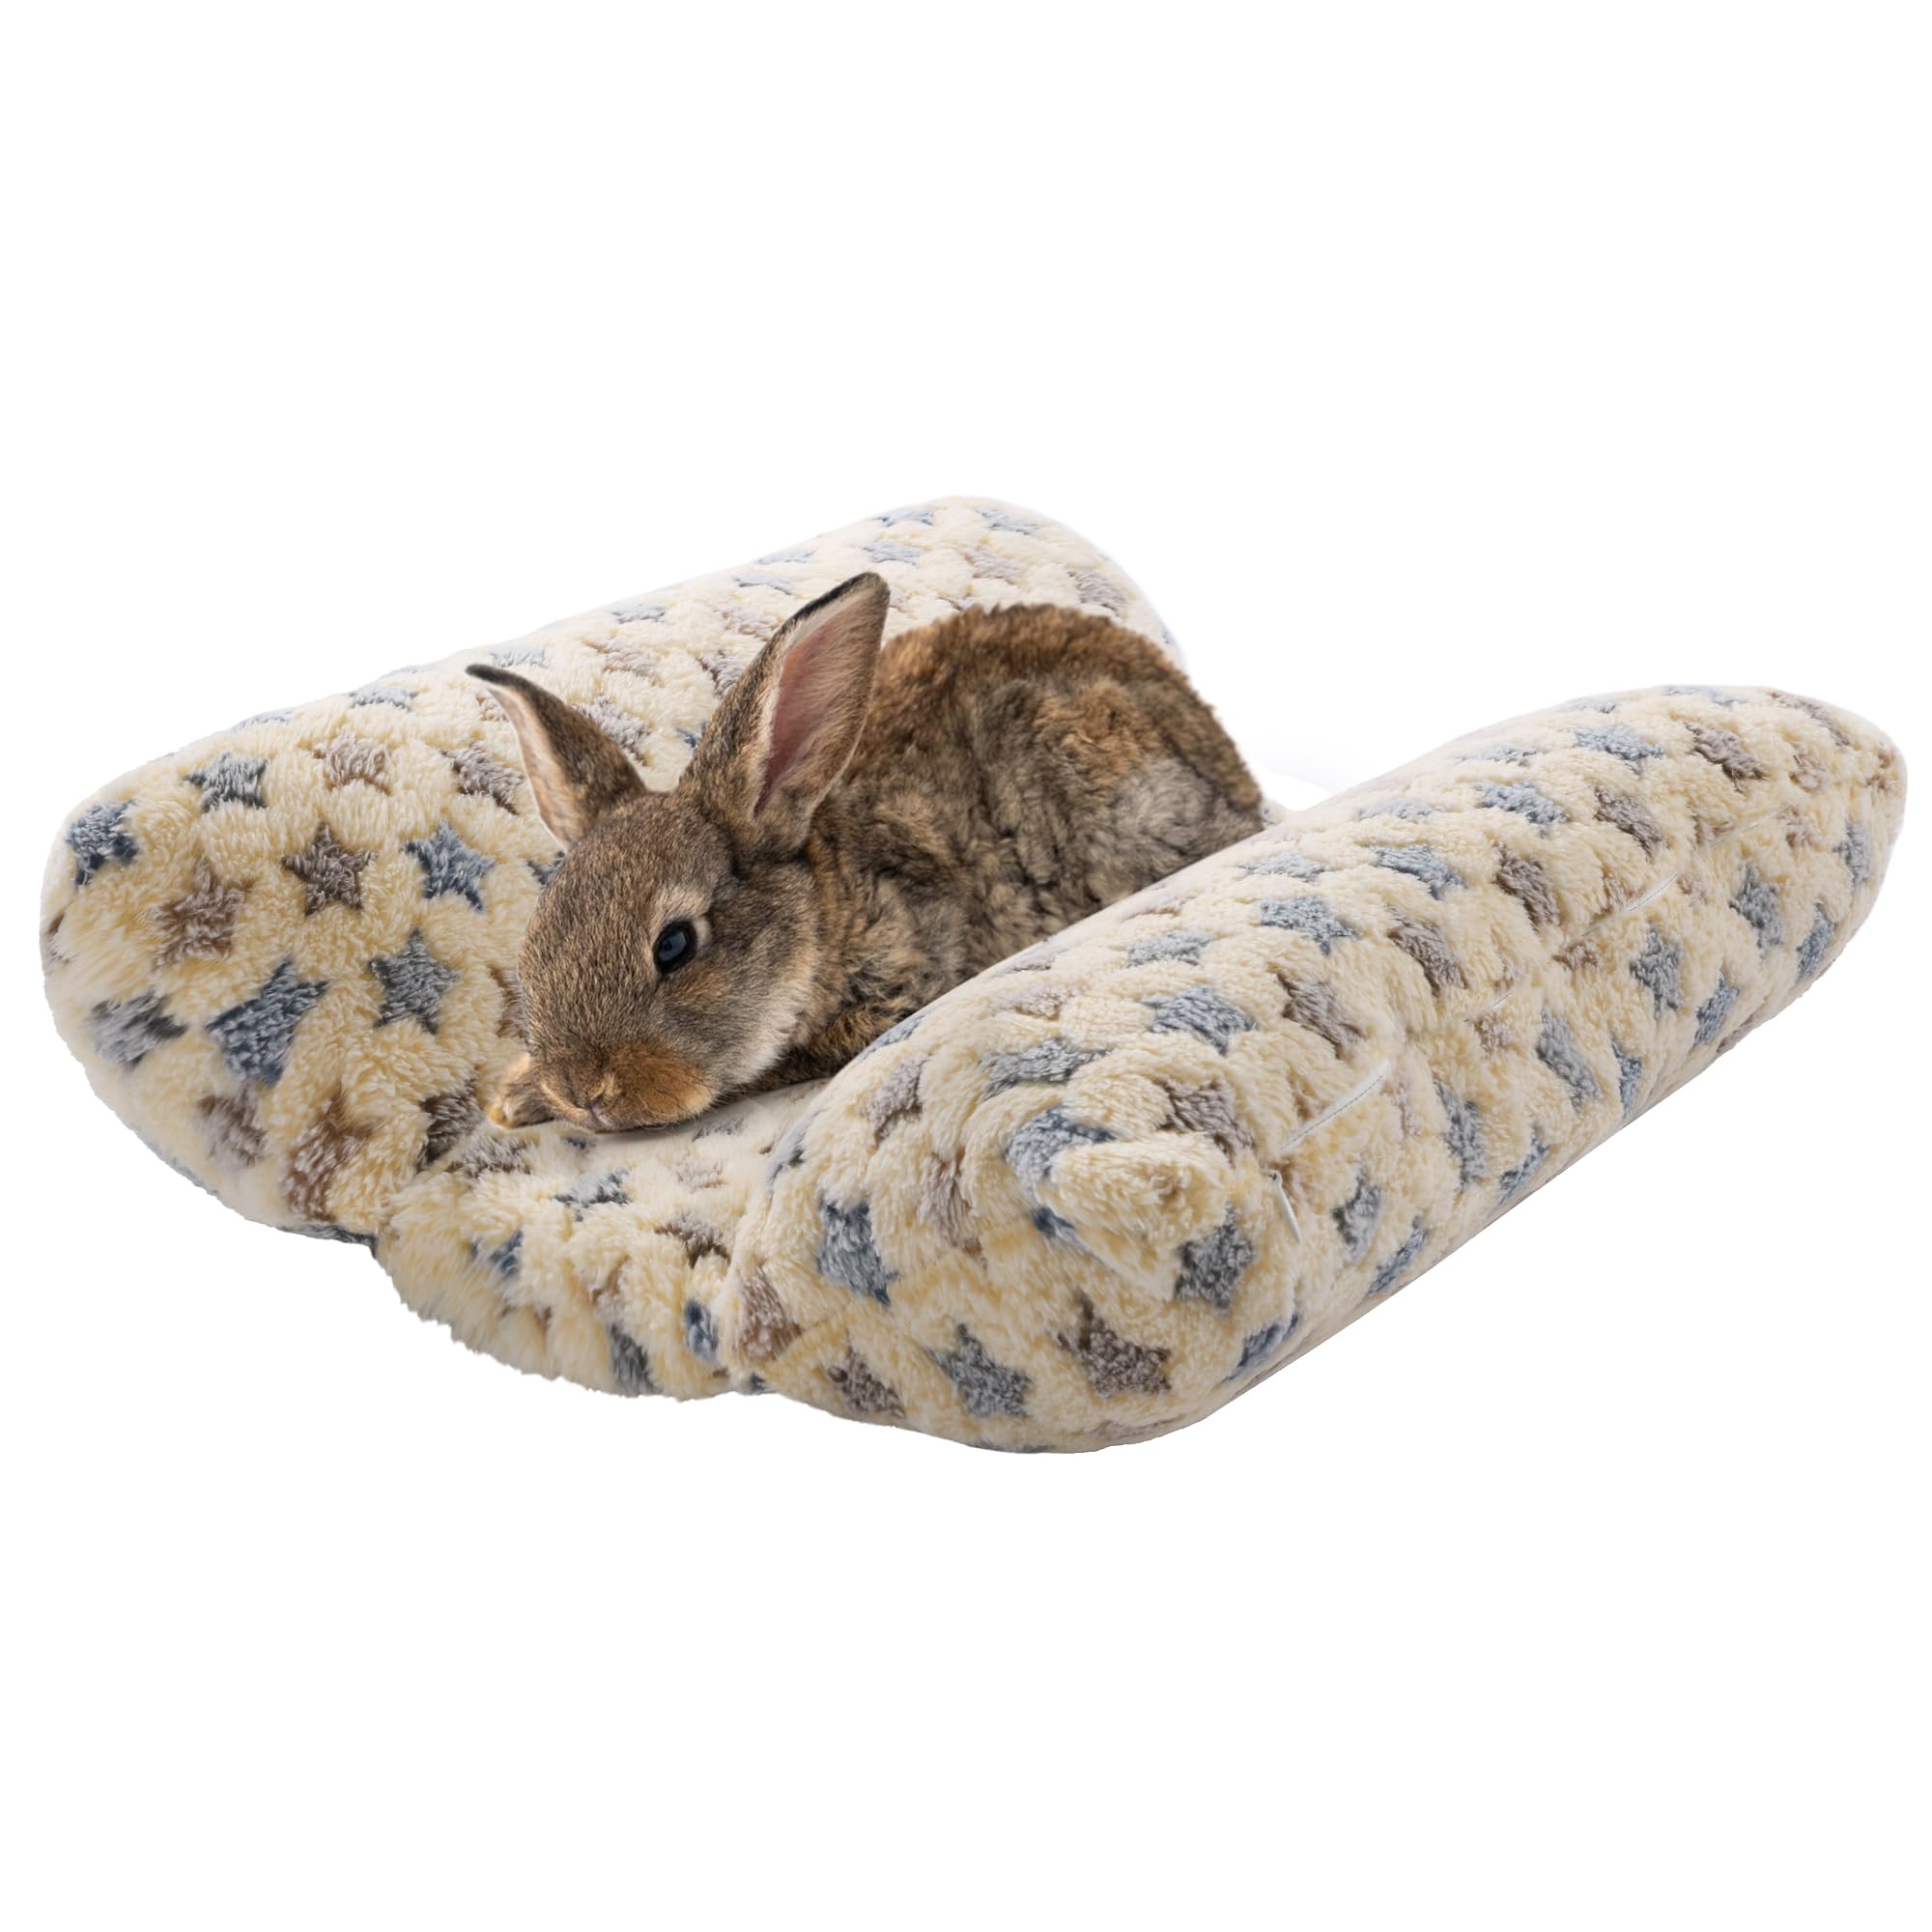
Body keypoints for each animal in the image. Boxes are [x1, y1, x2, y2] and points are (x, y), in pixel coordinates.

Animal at [469, 571, 1263, 1132]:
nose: (582, 1089)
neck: (821, 916)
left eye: (674, 945)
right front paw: (518, 1095)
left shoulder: (903, 975)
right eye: (536, 941)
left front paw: (519, 1099)